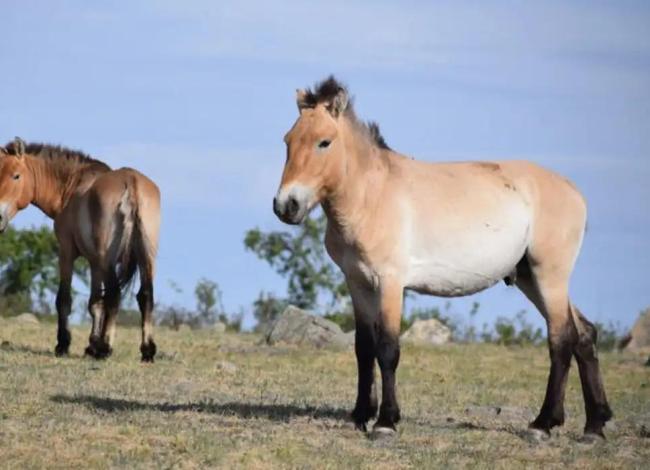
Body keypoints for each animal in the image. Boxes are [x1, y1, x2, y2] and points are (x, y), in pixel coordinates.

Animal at [0, 138, 160, 362]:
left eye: (16, 175)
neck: (72, 185)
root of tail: (132, 183)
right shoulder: (94, 264)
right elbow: (96, 303)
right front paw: (91, 345)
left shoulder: (67, 253)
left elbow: (65, 299)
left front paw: (64, 344)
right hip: (146, 260)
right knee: (145, 296)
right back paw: (147, 350)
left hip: (108, 260)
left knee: (115, 295)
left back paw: (106, 348)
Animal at [273, 77, 612, 441]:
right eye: (288, 140)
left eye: (324, 142)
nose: (286, 205)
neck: (371, 196)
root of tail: (574, 192)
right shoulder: (357, 282)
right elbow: (364, 348)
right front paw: (361, 415)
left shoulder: (390, 282)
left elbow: (387, 349)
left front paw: (386, 422)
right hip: (528, 278)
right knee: (584, 334)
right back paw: (594, 425)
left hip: (550, 275)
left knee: (561, 340)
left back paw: (543, 424)